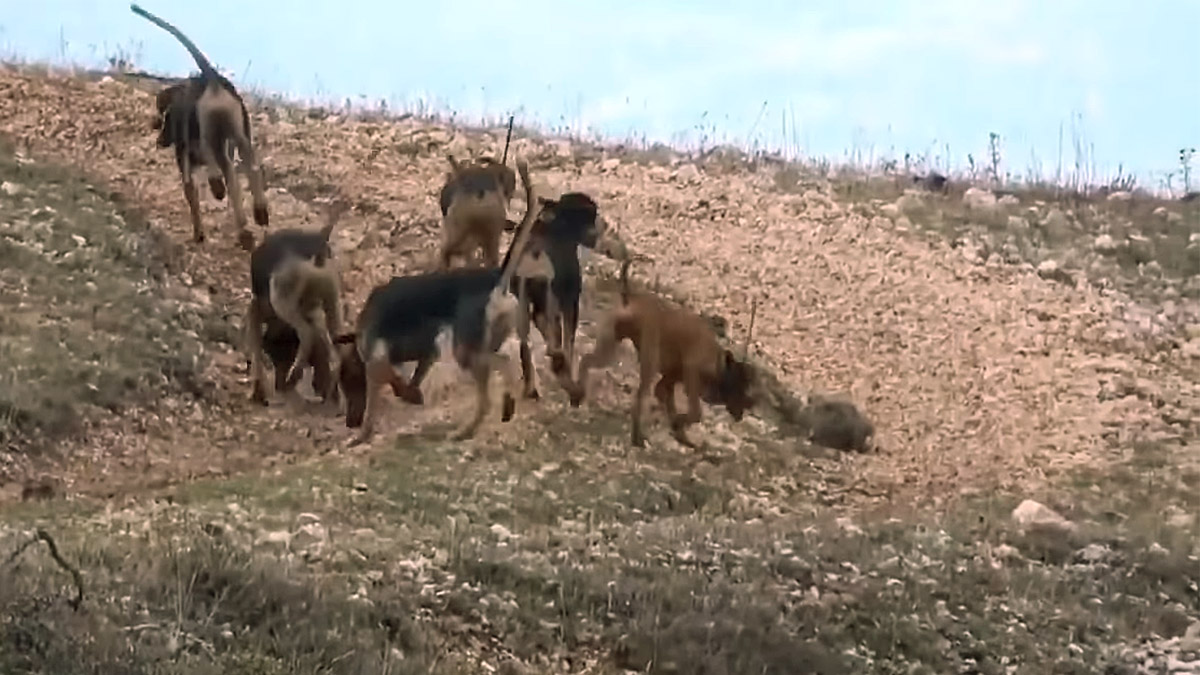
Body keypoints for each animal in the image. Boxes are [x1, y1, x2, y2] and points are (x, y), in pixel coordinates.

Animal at [132, 3, 271, 249]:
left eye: (165, 121)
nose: (160, 141)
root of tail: (212, 80)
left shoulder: (185, 162)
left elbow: (191, 196)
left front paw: (199, 233)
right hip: (239, 130)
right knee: (247, 167)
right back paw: (258, 213)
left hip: (209, 129)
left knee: (214, 156)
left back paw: (218, 187)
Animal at [238, 204, 343, 403]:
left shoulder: (256, 312)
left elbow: (256, 350)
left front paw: (257, 390)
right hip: (331, 305)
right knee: (336, 350)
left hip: (285, 304)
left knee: (307, 334)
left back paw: (295, 374)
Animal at [331, 157, 532, 441]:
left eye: (347, 383)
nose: (349, 423)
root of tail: (496, 278)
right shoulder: (427, 352)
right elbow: (411, 377)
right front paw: (411, 393)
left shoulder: (376, 363)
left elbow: (383, 394)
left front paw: (364, 434)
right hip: (481, 343)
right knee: (492, 384)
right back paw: (476, 424)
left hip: (466, 349)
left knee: (502, 366)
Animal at [566, 257, 753, 446]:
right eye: (739, 384)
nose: (745, 409)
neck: (717, 361)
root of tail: (631, 296)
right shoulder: (691, 375)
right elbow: (695, 412)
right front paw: (679, 423)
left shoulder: (669, 380)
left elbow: (669, 402)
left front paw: (680, 432)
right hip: (649, 362)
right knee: (639, 398)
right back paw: (637, 437)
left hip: (609, 347)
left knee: (586, 360)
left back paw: (577, 395)